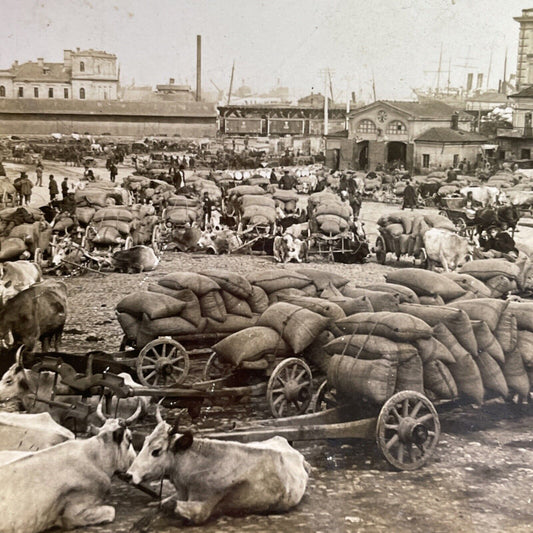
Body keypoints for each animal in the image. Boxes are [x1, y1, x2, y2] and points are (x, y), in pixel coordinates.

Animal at [128, 416, 310, 524]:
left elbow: (174, 506)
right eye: (144, 441)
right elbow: (163, 503)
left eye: (156, 451)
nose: (129, 475)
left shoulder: (200, 510)